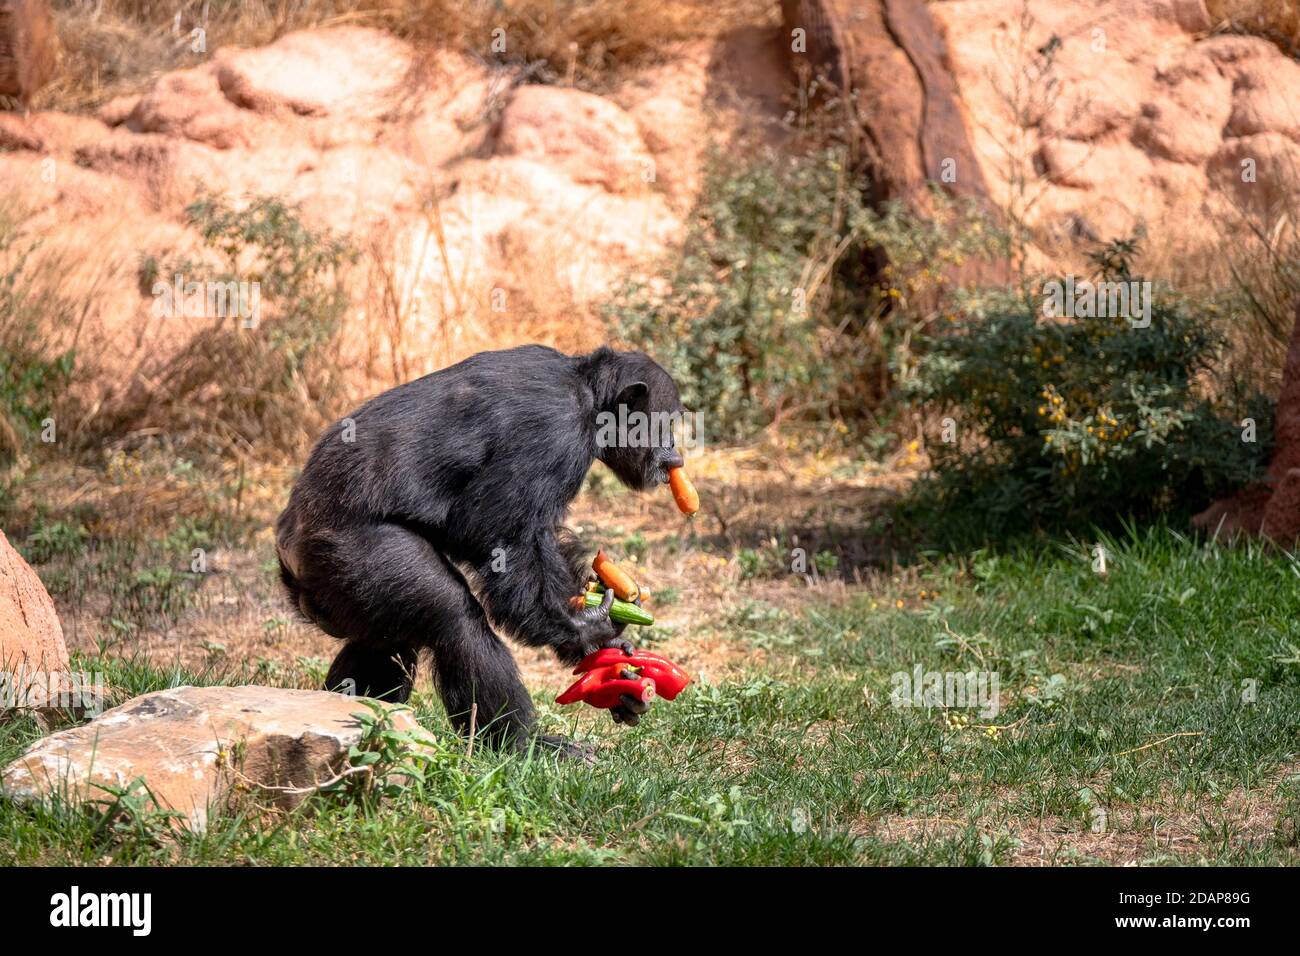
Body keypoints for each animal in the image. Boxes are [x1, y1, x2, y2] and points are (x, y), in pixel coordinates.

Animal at [271, 343, 681, 754]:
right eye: (668, 423)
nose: (675, 456)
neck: (588, 392)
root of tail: (289, 557)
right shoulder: (554, 431)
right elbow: (493, 530)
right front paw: (582, 626)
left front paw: (613, 662)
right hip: (355, 555)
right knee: (455, 619)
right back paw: (521, 744)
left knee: (387, 642)